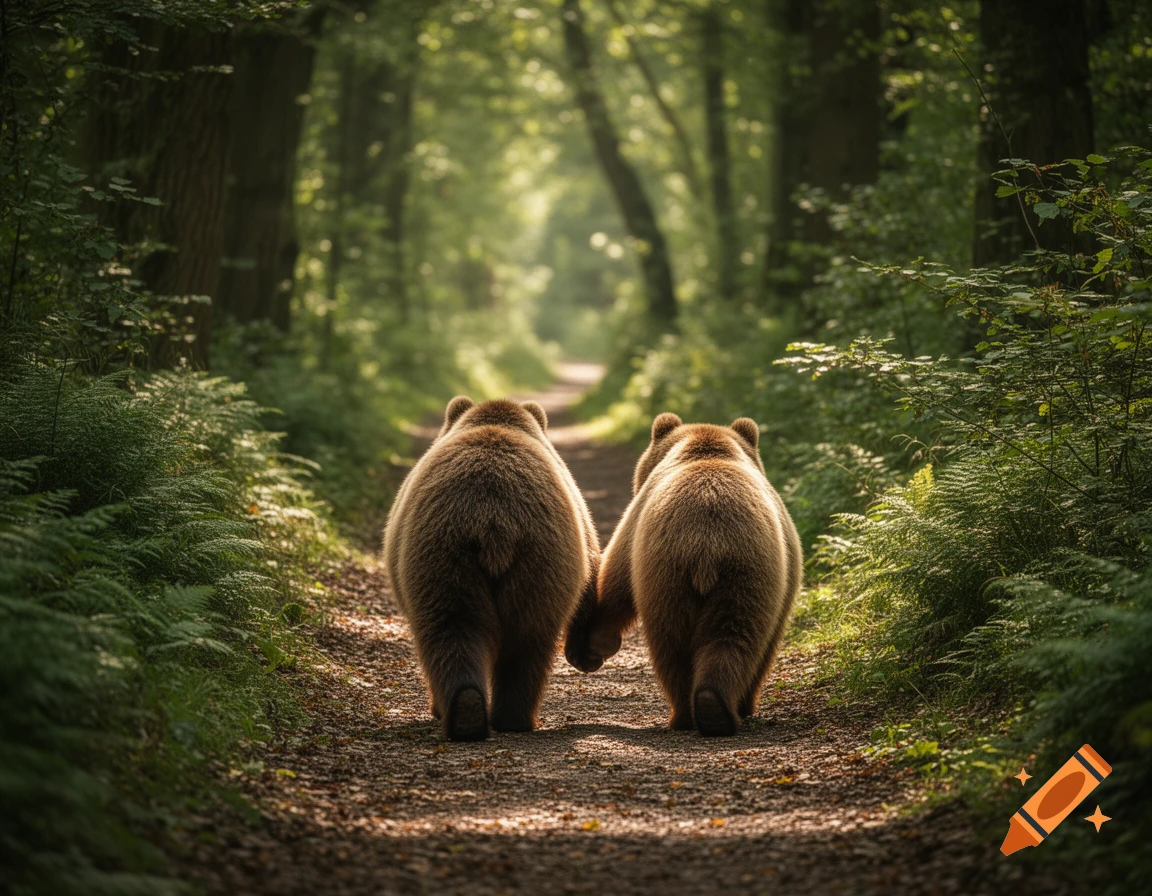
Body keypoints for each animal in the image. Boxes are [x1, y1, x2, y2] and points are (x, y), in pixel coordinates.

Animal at [384, 396, 600, 741]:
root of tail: (493, 518)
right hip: (522, 560)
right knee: (509, 636)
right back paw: (484, 713)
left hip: (451, 555)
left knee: (470, 631)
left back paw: (484, 715)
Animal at [566, 412, 802, 736]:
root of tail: (708, 543)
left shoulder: (634, 524)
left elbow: (616, 579)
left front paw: (592, 646)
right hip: (737, 573)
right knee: (726, 637)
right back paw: (713, 709)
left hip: (676, 573)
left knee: (684, 645)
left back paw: (695, 712)